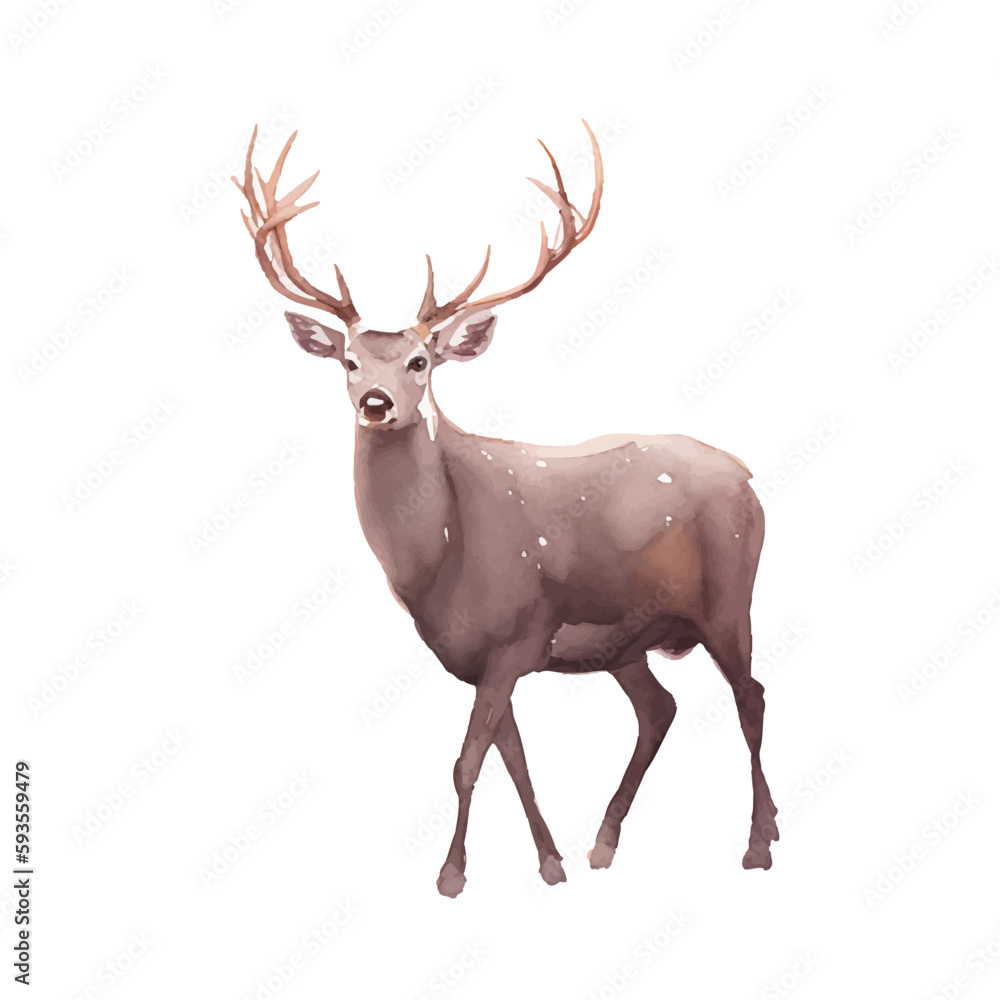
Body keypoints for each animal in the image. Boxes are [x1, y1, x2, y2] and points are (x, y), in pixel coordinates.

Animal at [232, 120, 778, 897]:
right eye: (349, 361)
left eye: (421, 362)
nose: (377, 403)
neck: (439, 561)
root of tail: (749, 478)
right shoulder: (483, 653)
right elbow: (510, 756)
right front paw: (550, 861)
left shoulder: (519, 630)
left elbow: (468, 759)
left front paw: (451, 874)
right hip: (626, 639)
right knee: (661, 708)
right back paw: (604, 843)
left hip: (731, 595)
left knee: (751, 697)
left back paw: (760, 843)